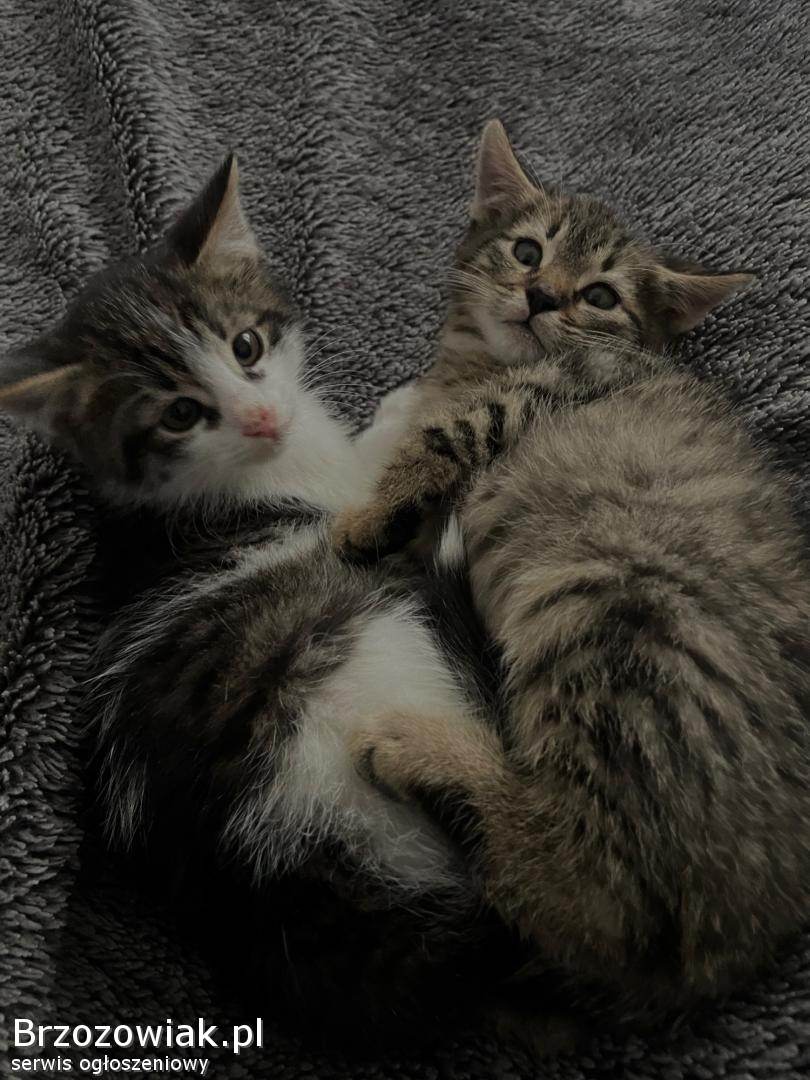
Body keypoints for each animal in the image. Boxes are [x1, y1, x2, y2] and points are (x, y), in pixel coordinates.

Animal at [0, 156, 516, 1048]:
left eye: (246, 345)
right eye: (181, 413)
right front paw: (412, 405)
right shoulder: (343, 516)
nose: (267, 415)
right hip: (370, 658)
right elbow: (380, 480)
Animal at [330, 120, 810, 1041]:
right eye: (527, 250)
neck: (479, 366)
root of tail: (720, 961)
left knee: (575, 884)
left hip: (612, 613)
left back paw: (425, 751)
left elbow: (436, 442)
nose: (543, 296)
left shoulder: (546, 393)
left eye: (599, 296)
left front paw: (363, 517)